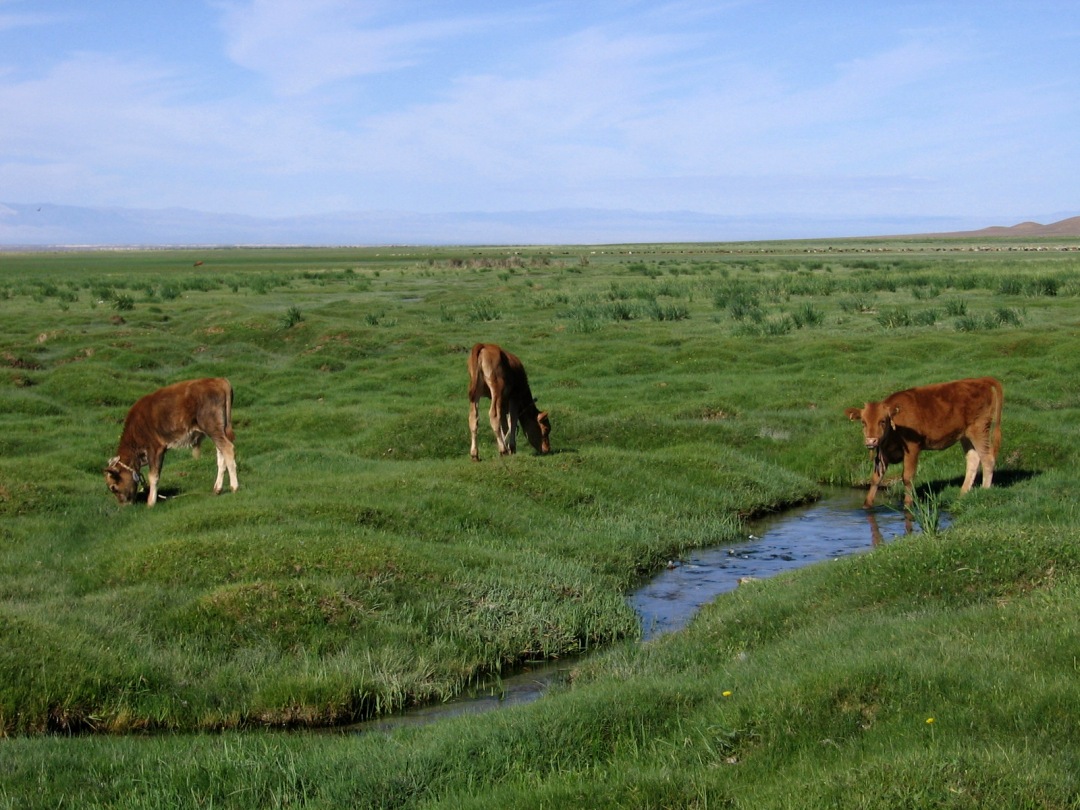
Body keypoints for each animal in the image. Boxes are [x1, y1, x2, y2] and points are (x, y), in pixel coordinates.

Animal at [103, 380, 238, 507]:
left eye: (113, 487)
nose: (123, 505)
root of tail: (220, 381)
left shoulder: (155, 448)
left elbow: (153, 476)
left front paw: (150, 503)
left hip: (212, 427)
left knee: (227, 448)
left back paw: (234, 487)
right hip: (218, 430)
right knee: (220, 454)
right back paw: (217, 489)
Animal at [842, 380, 1002, 509]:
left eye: (882, 421)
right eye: (863, 422)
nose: (871, 441)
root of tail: (981, 381)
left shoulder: (912, 448)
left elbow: (907, 477)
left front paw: (908, 505)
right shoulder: (883, 452)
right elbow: (876, 478)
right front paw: (866, 505)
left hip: (979, 429)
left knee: (988, 458)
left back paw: (985, 490)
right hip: (965, 435)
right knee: (973, 459)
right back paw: (962, 494)